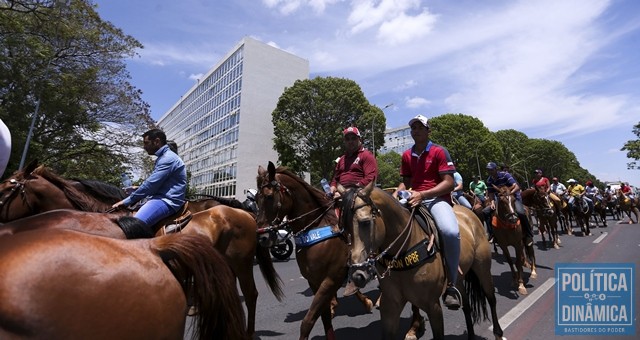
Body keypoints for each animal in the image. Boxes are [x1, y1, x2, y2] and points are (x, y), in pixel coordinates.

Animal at [254, 162, 424, 340]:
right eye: (256, 199)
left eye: (269, 197)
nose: (262, 237)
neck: (317, 229)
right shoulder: (314, 282)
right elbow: (324, 317)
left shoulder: (331, 279)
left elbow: (308, 320)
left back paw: (413, 326)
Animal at [340, 183, 504, 340]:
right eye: (344, 228)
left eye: (366, 222)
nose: (356, 275)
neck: (404, 251)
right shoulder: (390, 307)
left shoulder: (433, 306)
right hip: (457, 278)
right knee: (466, 305)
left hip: (482, 268)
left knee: (491, 298)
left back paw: (498, 332)